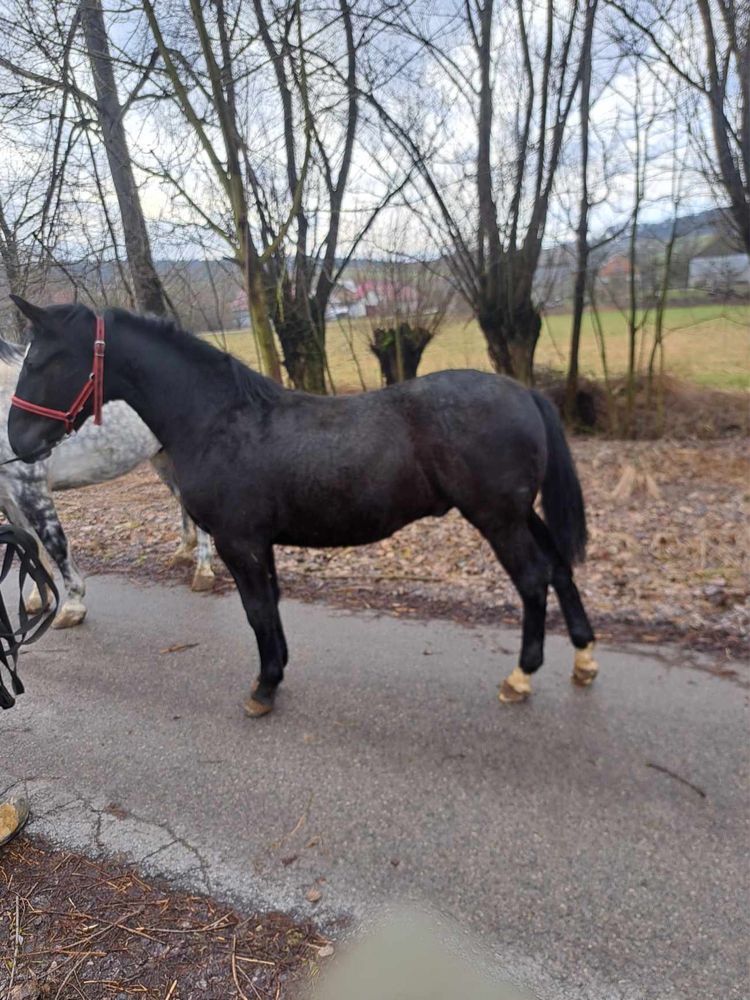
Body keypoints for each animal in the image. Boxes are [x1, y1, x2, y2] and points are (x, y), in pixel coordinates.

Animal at [0, 340, 214, 628]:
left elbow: (55, 545)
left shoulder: (31, 487)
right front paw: (39, 599)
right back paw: (183, 552)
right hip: (162, 457)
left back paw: (203, 572)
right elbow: (30, 546)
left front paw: (73, 605)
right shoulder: (8, 497)